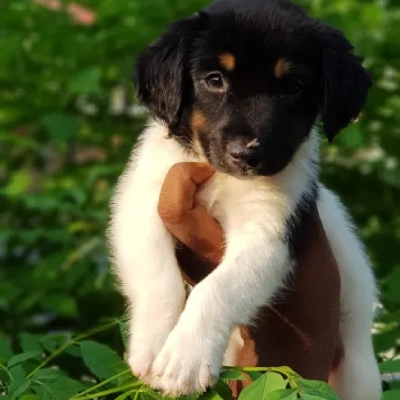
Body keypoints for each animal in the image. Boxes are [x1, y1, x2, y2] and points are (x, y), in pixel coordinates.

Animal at [108, 1, 382, 398]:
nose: (246, 154)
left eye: (293, 87)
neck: (224, 178)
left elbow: (218, 287)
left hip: (358, 371)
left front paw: (186, 357)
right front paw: (155, 345)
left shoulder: (270, 235)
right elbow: (158, 277)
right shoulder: (143, 201)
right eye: (214, 80)